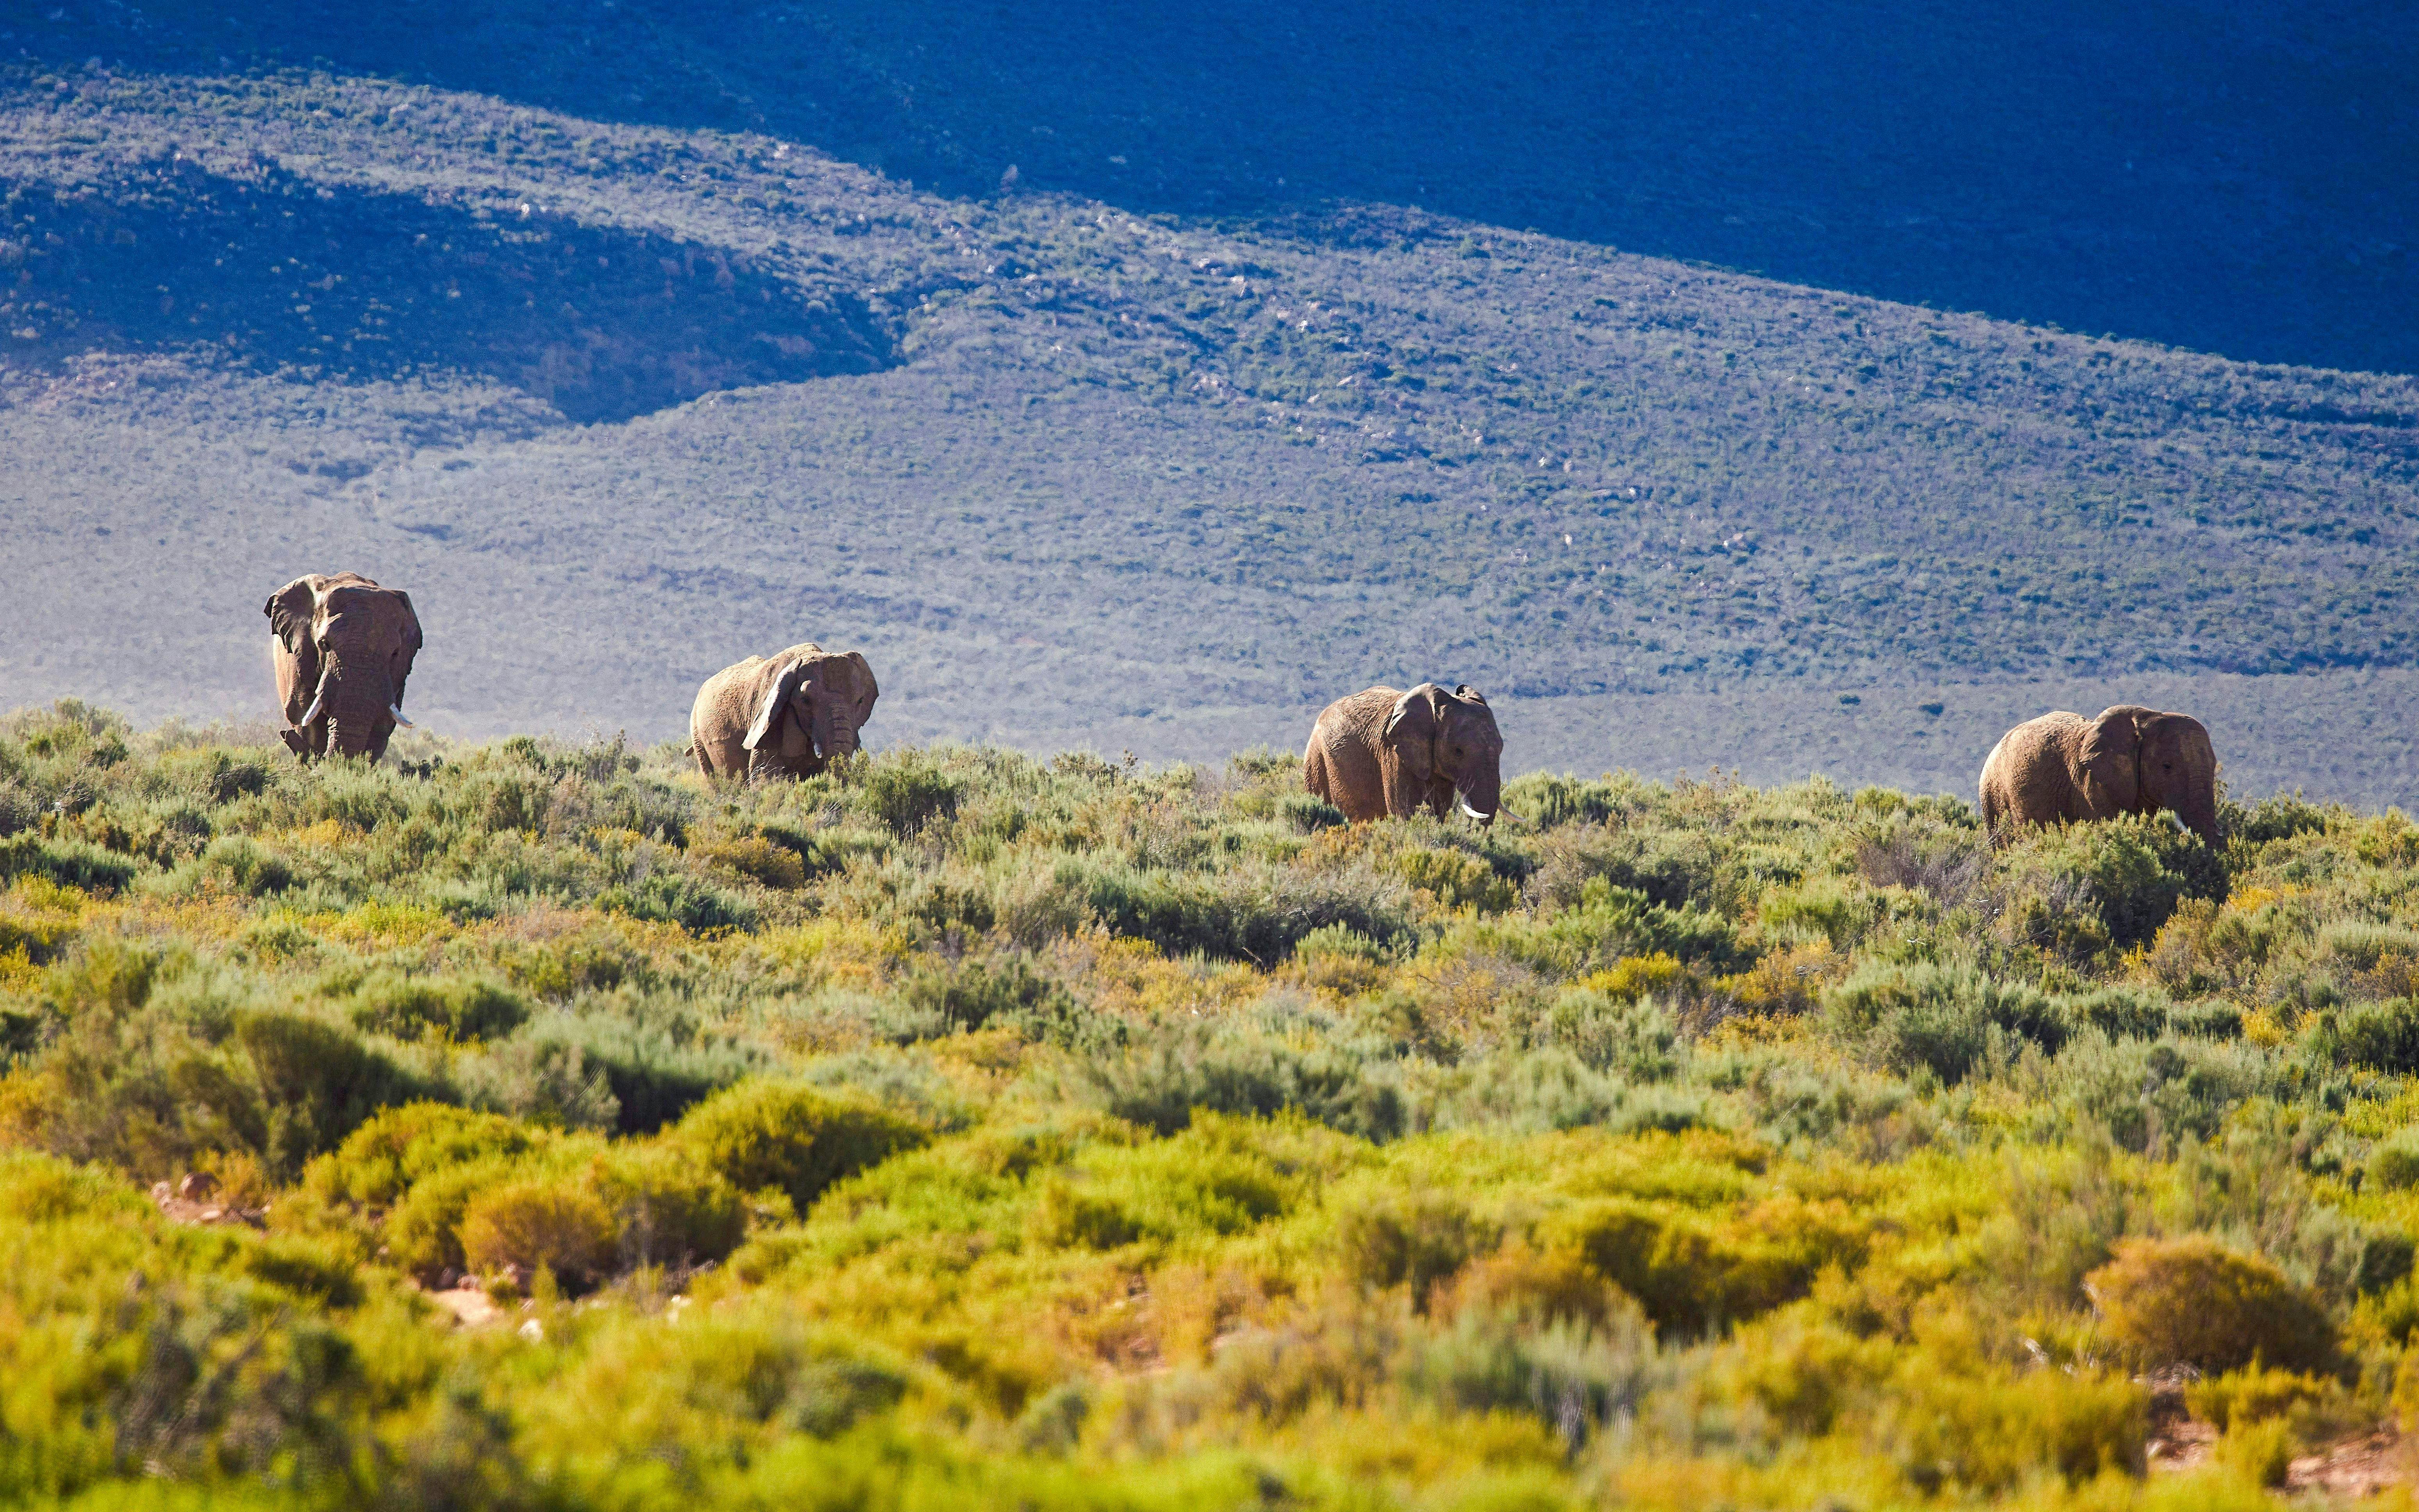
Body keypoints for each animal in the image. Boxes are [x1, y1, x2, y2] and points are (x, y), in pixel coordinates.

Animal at [263, 572, 423, 763]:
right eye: (324, 644)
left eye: (395, 653)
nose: (285, 734)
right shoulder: (302, 657)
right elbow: (304, 713)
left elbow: (383, 724)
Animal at [1303, 682, 1505, 824]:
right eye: (1458, 752)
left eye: (1502, 747)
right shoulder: (1392, 751)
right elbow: (1404, 807)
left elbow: (1440, 808)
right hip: (1316, 757)